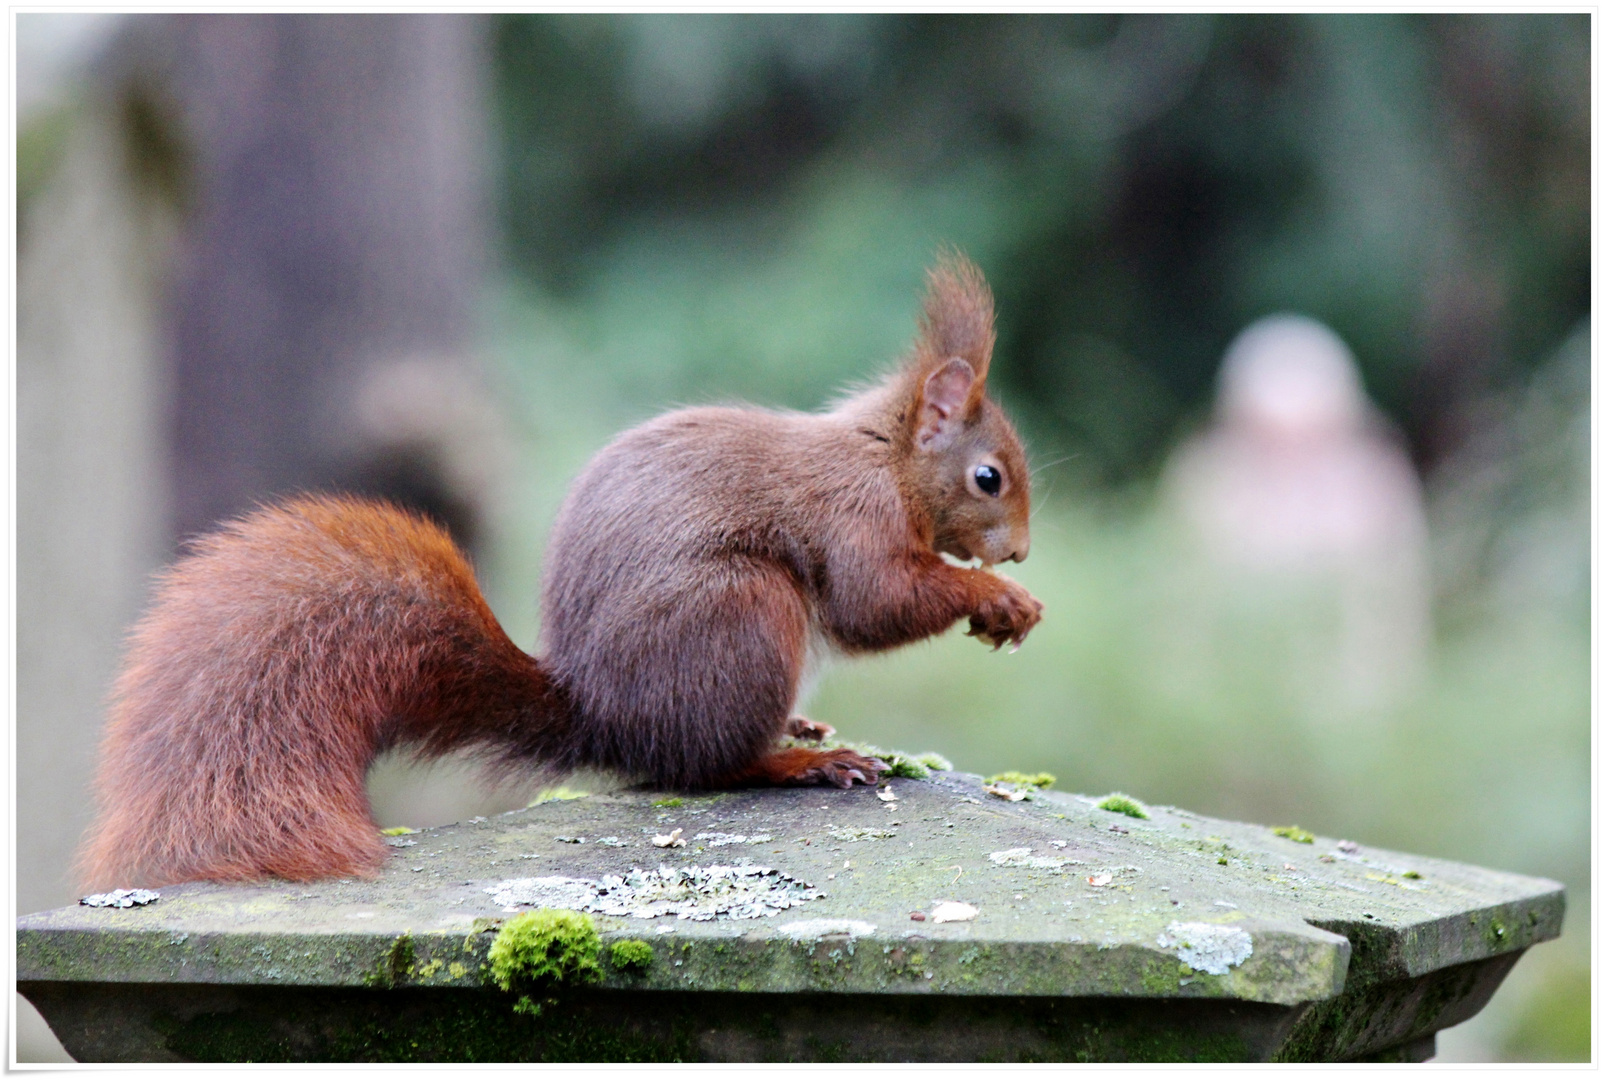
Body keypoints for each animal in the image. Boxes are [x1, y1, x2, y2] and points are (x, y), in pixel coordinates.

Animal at [78, 255, 1041, 887]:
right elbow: (875, 601)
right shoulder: (852, 517)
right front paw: (1000, 597)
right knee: (705, 767)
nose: (1023, 551)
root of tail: (604, 716)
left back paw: (800, 731)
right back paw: (798, 763)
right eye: (988, 477)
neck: (886, 457)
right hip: (743, 611)